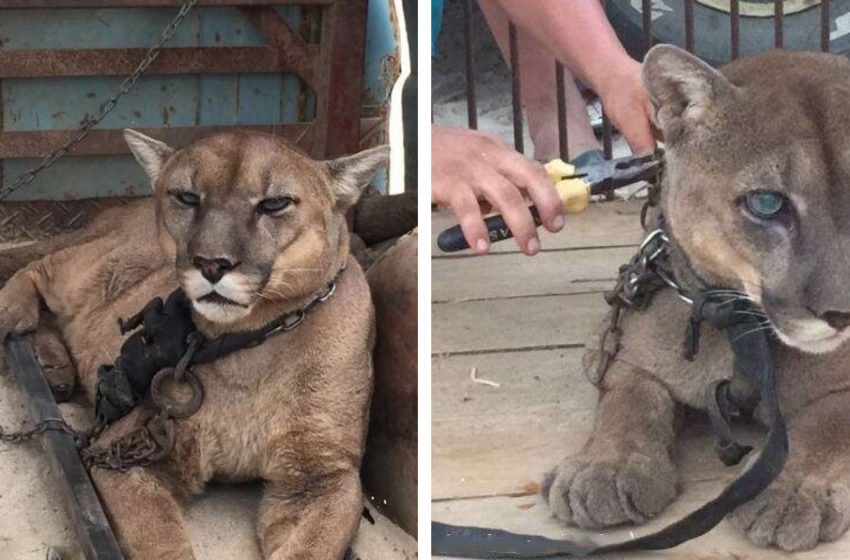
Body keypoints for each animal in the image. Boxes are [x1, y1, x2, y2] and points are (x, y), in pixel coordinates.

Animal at [0, 129, 388, 556]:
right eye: (187, 197)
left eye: (274, 203)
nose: (212, 263)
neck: (249, 349)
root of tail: (122, 210)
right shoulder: (124, 450)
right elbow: (160, 540)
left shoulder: (324, 477)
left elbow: (310, 549)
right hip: (97, 271)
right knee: (40, 267)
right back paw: (11, 313)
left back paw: (54, 368)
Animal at [544, 46, 850, 552]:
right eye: (766, 203)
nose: (842, 313)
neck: (740, 327)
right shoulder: (627, 352)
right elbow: (628, 400)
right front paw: (605, 467)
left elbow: (827, 423)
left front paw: (791, 492)